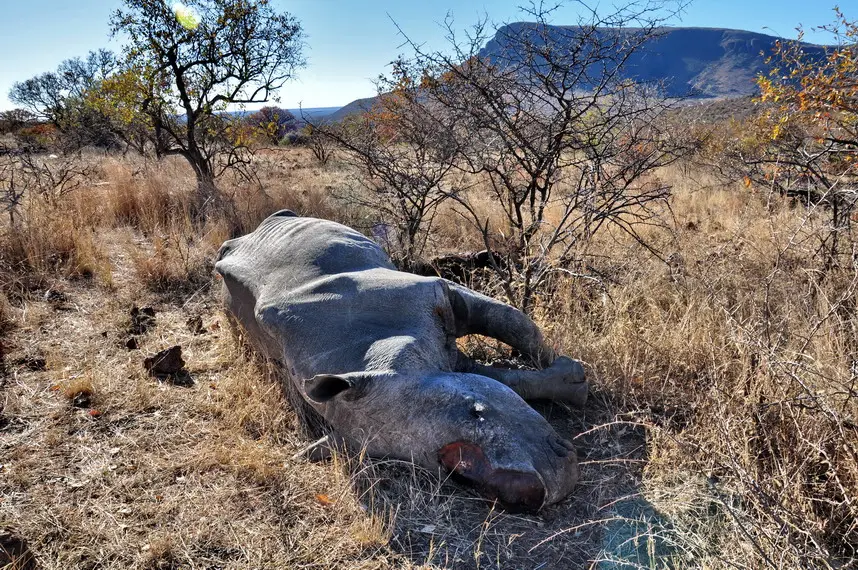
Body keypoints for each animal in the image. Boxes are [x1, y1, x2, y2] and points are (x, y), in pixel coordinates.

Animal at [215, 211, 588, 511]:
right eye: (457, 477)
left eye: (476, 411)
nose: (531, 493)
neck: (374, 356)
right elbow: (510, 376)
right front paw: (572, 381)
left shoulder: (435, 293)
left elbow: (514, 323)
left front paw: (574, 378)